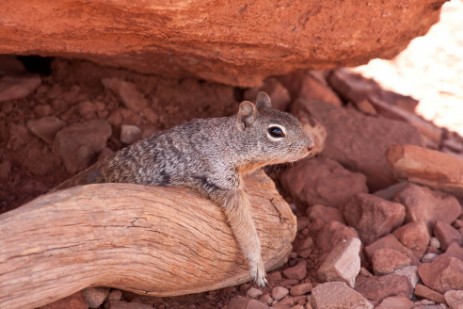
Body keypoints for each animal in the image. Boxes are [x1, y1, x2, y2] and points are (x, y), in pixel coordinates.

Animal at [52, 91, 324, 286]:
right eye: (275, 131)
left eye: (294, 118)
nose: (311, 146)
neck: (228, 141)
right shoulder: (224, 182)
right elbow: (245, 228)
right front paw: (257, 265)